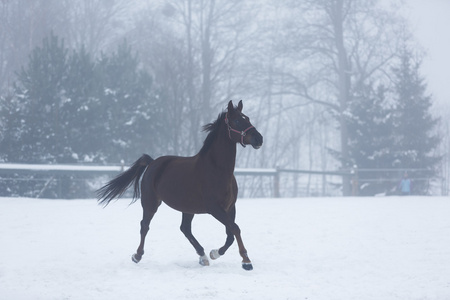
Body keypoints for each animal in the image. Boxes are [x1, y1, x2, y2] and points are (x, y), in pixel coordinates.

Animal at [96, 100, 262, 270]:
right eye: (237, 121)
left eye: (247, 118)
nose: (259, 139)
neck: (217, 169)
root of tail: (153, 163)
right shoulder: (214, 208)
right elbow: (235, 228)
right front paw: (246, 261)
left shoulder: (230, 207)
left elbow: (230, 234)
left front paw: (214, 253)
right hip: (150, 203)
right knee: (145, 225)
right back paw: (137, 256)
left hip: (187, 208)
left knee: (185, 229)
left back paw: (203, 256)